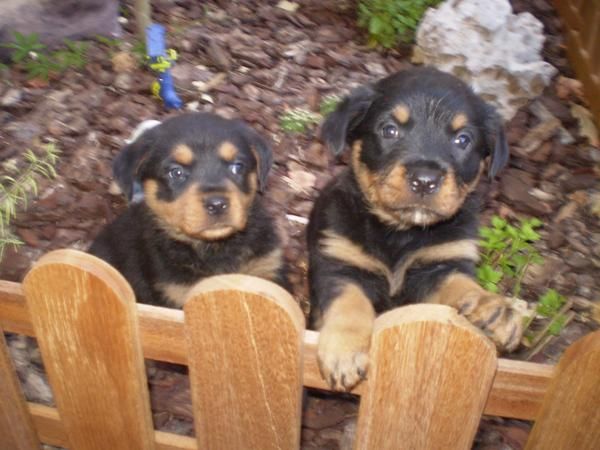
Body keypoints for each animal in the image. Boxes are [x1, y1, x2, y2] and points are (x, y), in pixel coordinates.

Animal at [89, 114, 288, 308]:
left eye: (237, 166)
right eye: (176, 172)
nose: (217, 204)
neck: (216, 247)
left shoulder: (268, 269)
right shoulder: (177, 292)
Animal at [308, 67, 524, 390]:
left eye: (463, 139)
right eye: (389, 130)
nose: (425, 180)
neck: (400, 232)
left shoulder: (439, 265)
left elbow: (461, 284)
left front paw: (494, 308)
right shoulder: (339, 264)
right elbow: (350, 303)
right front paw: (344, 350)